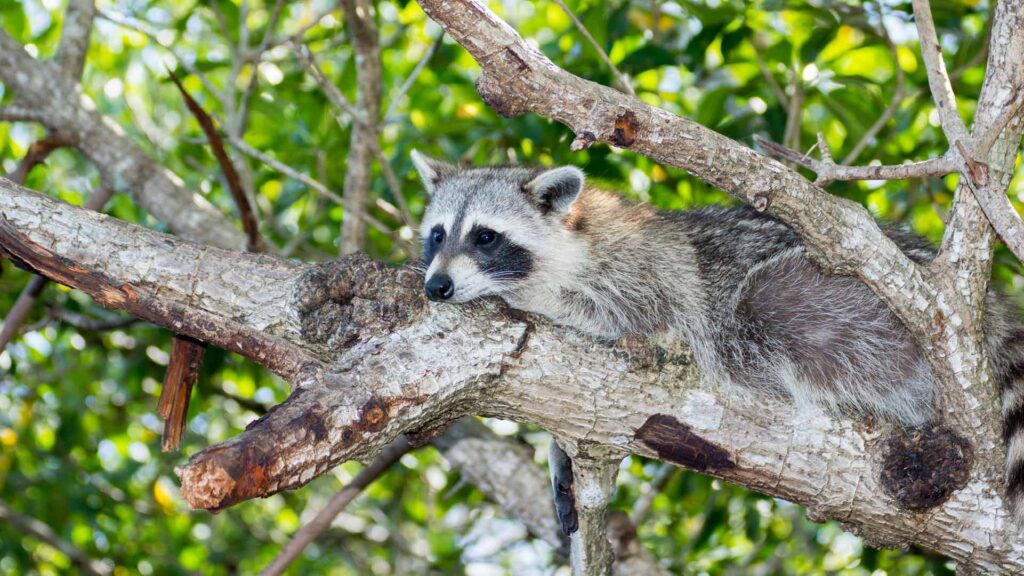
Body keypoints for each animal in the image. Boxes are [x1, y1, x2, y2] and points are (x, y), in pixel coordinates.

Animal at [411, 150, 1024, 520]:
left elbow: (627, 315)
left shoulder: (643, 275)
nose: (436, 287)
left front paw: (522, 300)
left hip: (847, 304)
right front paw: (560, 455)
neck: (572, 239)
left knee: (765, 309)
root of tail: (989, 311)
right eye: (437, 234)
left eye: (485, 237)